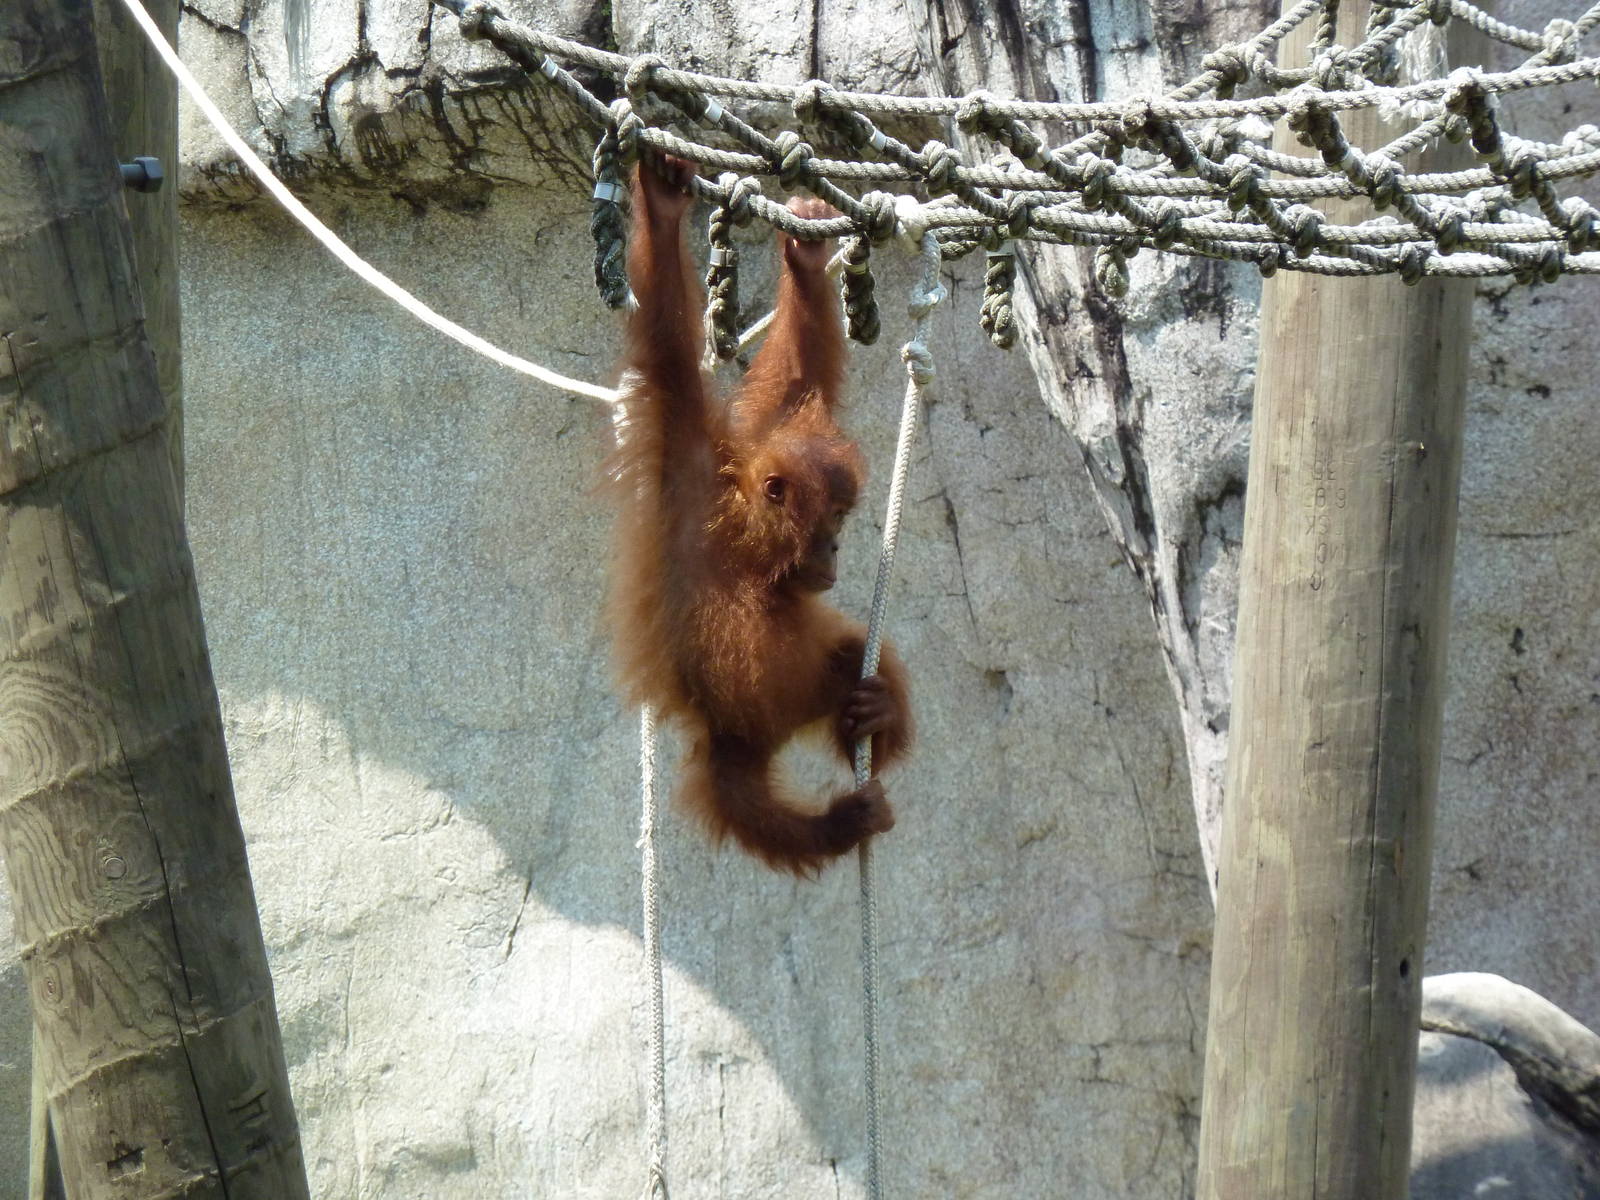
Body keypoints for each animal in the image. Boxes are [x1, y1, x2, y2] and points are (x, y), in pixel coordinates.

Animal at [604, 155, 913, 876]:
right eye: (833, 520)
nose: (836, 551)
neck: (748, 550)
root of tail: (778, 734)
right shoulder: (688, 468)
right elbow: (669, 345)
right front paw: (660, 207)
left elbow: (801, 379)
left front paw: (804, 257)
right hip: (732, 745)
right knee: (751, 808)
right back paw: (842, 823)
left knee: (855, 659)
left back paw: (876, 715)